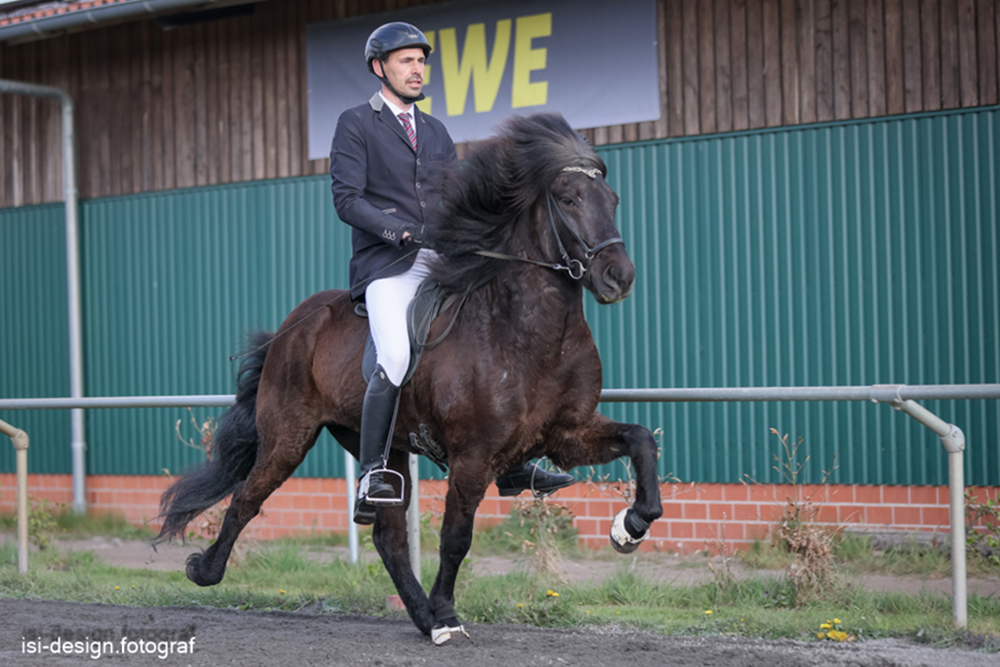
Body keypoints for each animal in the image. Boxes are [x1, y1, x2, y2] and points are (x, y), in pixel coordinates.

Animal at [156, 115, 664, 648]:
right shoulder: (471, 456)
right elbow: (456, 538)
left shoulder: (566, 434)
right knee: (247, 499)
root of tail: (293, 326)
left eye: (612, 199)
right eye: (567, 199)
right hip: (287, 438)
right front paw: (448, 611)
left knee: (389, 537)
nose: (619, 277)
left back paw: (421, 617)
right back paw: (204, 570)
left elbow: (641, 441)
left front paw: (630, 527)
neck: (530, 334)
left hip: (381, 443)